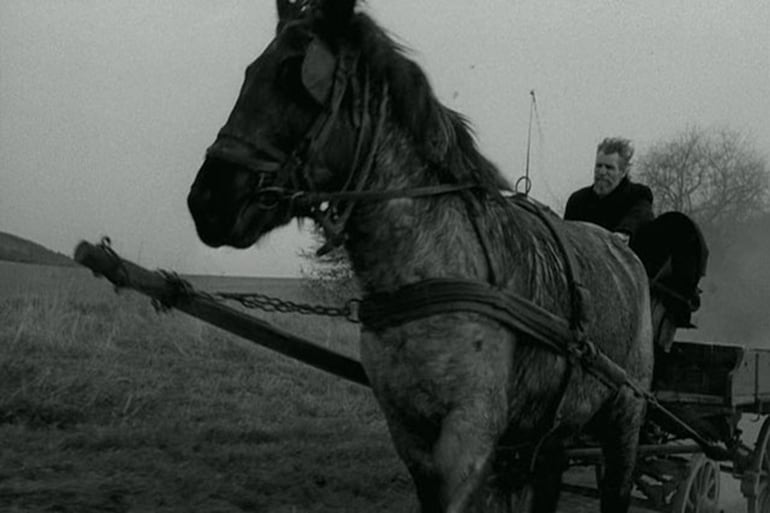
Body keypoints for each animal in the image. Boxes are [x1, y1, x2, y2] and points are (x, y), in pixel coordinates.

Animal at [187, 1, 654, 512]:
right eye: (250, 71)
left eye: (295, 76)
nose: (207, 200)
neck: (429, 269)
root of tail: (625, 253)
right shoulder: (408, 432)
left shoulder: (471, 434)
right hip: (556, 432)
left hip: (626, 414)